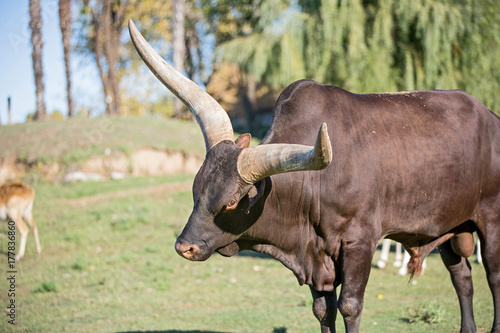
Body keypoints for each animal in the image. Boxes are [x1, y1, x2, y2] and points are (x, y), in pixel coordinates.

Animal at [130, 20, 500, 332]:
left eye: (232, 202)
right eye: (197, 188)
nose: (184, 246)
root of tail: (490, 116)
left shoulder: (359, 242)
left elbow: (350, 306)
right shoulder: (318, 259)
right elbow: (324, 310)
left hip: (491, 218)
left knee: (494, 274)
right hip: (451, 225)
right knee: (462, 276)